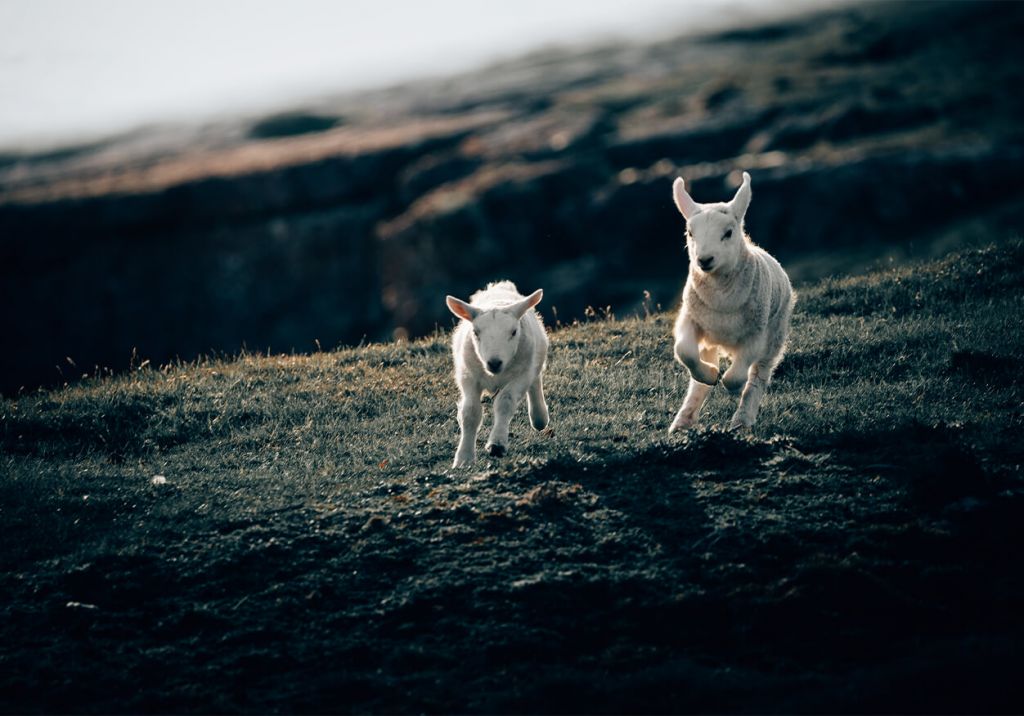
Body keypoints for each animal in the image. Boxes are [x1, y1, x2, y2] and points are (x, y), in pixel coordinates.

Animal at [444, 280, 548, 471]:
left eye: (514, 332)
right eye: (476, 332)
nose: (494, 362)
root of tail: (500, 286)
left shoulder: (521, 376)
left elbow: (505, 403)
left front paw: (497, 444)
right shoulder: (468, 377)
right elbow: (470, 413)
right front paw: (464, 458)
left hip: (533, 362)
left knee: (535, 381)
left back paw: (539, 418)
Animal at [667, 172, 794, 436]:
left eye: (728, 233)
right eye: (690, 234)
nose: (704, 260)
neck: (721, 299)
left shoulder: (756, 333)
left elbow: (737, 376)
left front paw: (730, 385)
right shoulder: (690, 319)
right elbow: (684, 351)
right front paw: (711, 374)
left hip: (775, 335)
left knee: (759, 375)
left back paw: (742, 420)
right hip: (709, 339)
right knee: (698, 380)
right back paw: (684, 420)